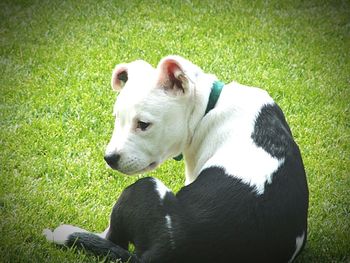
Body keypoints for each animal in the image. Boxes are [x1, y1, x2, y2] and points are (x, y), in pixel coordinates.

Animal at [44, 54, 308, 262]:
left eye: (143, 124)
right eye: (116, 118)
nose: (109, 158)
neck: (210, 106)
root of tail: (166, 249)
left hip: (143, 187)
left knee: (113, 239)